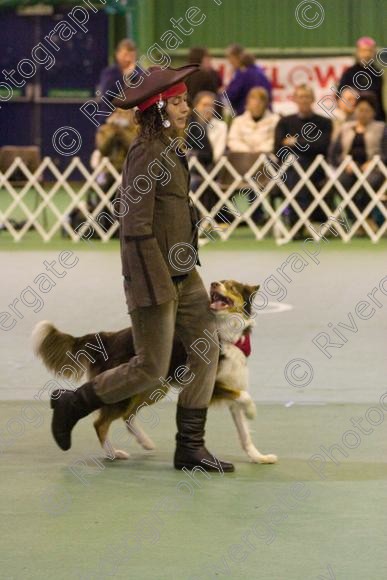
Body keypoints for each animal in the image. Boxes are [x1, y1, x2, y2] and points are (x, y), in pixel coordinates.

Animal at [31, 278, 278, 464]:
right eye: (220, 282)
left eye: (232, 286)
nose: (214, 284)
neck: (225, 333)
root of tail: (108, 337)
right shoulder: (212, 384)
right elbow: (244, 397)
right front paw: (252, 411)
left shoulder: (232, 385)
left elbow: (244, 433)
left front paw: (259, 457)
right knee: (101, 422)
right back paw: (112, 452)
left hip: (153, 385)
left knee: (128, 415)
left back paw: (144, 442)